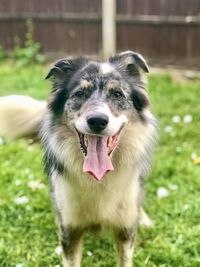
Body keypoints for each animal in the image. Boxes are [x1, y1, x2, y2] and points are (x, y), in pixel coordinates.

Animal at [0, 51, 156, 266]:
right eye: (79, 94)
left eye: (117, 94)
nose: (97, 121)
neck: (99, 180)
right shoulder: (70, 229)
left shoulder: (125, 230)